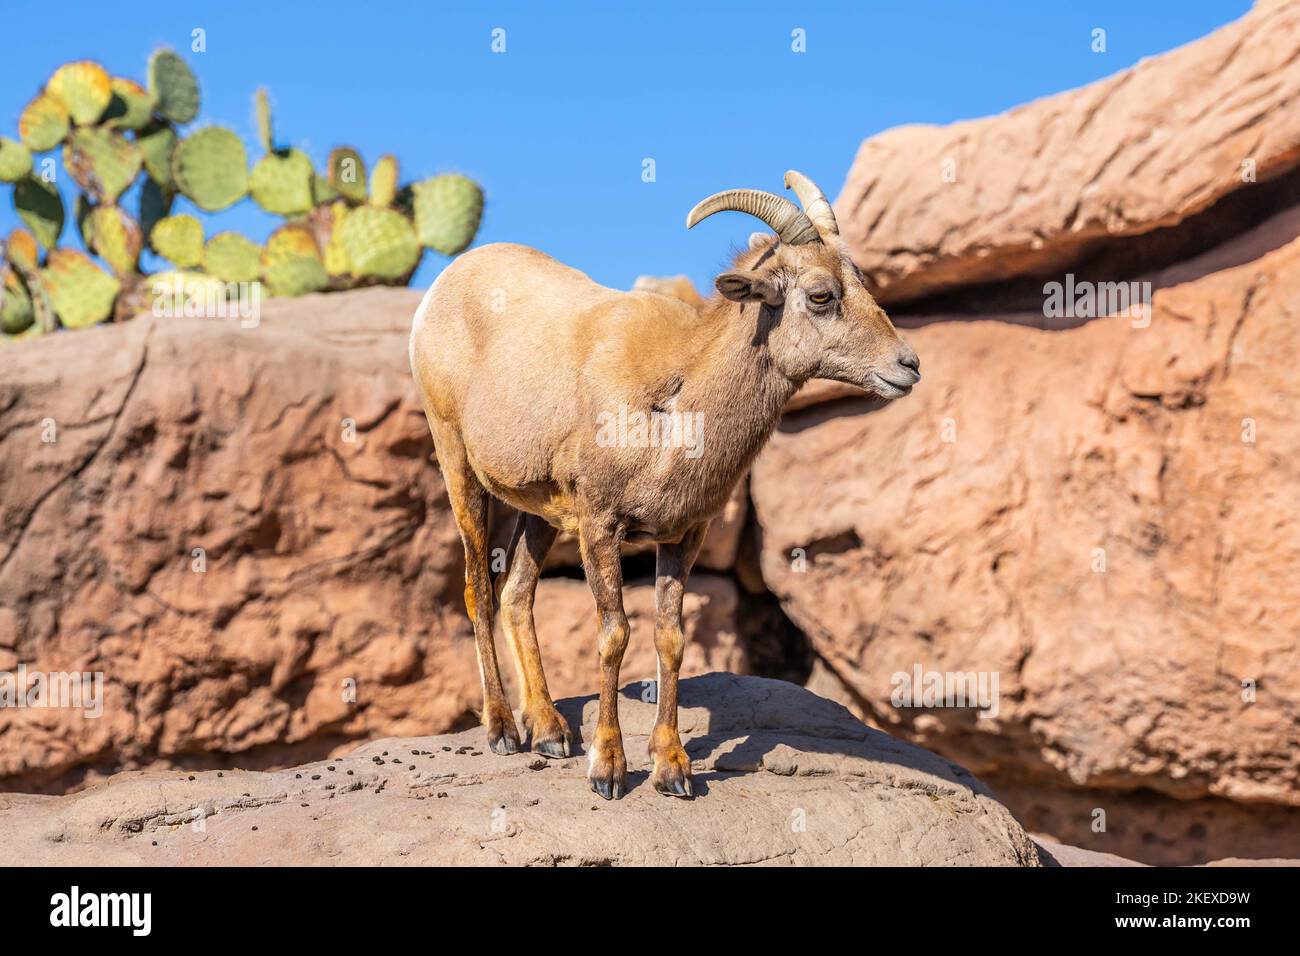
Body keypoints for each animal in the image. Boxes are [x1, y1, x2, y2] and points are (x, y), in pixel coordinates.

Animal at [408, 171, 919, 800]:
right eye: (821, 295)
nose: (908, 366)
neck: (676, 403)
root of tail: (443, 288)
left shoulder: (682, 536)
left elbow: (669, 640)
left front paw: (673, 769)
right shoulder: (601, 526)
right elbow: (614, 635)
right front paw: (608, 769)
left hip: (542, 512)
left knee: (516, 595)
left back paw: (551, 732)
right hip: (457, 463)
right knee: (479, 591)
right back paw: (503, 730)